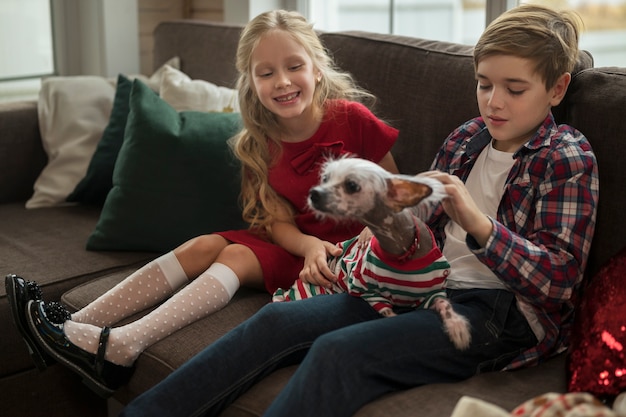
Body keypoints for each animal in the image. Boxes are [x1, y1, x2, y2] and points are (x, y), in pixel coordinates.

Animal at [270, 156, 470, 348]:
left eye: (351, 185)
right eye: (325, 178)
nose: (314, 193)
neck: (402, 254)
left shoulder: (434, 293)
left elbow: (445, 305)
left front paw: (457, 328)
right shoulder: (367, 291)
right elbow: (387, 312)